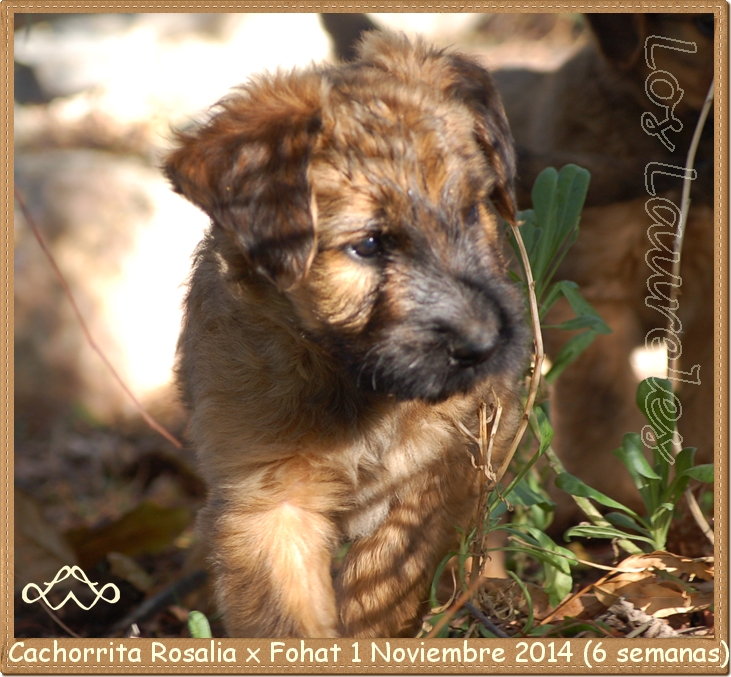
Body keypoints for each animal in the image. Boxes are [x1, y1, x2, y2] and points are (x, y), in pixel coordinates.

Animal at [165, 29, 528, 636]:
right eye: (369, 245)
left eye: (470, 211)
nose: (483, 344)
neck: (349, 380)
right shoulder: (267, 505)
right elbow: (286, 623)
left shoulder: (440, 469)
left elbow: (384, 582)